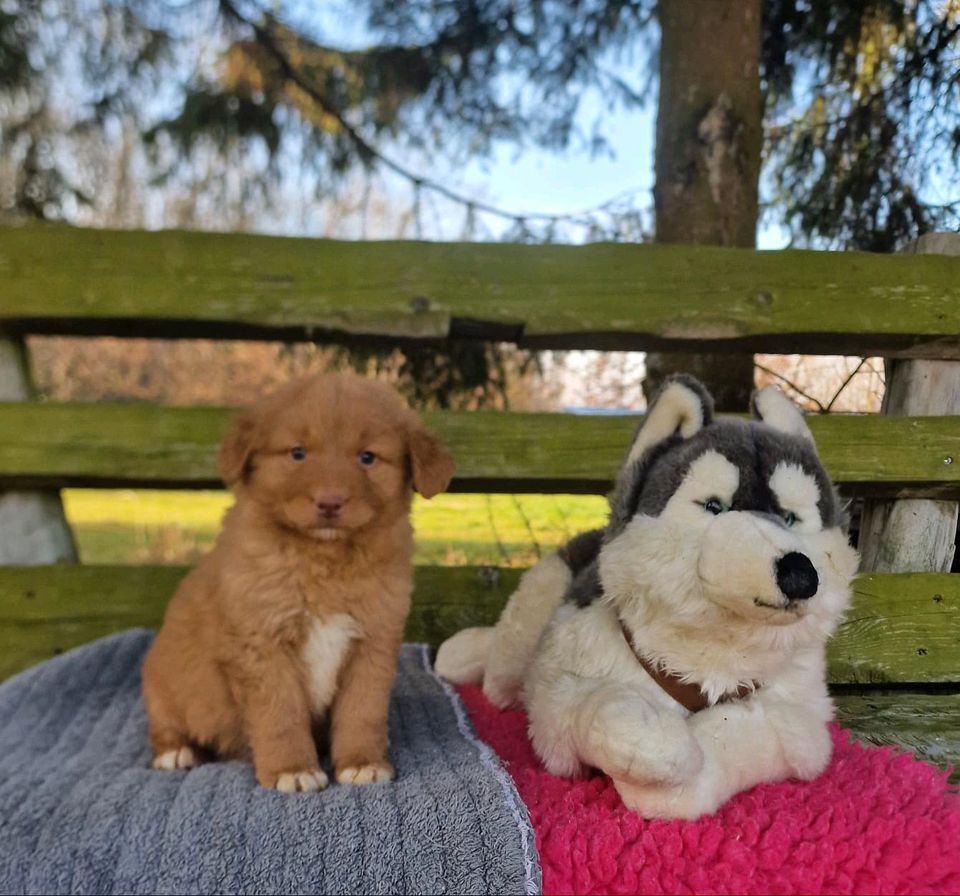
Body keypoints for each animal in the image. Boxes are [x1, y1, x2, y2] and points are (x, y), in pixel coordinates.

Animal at [141, 372, 456, 792]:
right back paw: (176, 753)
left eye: (367, 457)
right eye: (297, 453)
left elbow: (362, 711)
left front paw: (362, 762)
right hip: (162, 684)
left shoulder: (373, 643)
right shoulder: (262, 644)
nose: (329, 502)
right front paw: (291, 769)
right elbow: (281, 714)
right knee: (166, 726)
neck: (323, 561)